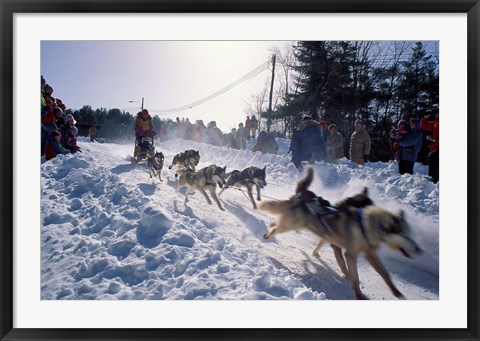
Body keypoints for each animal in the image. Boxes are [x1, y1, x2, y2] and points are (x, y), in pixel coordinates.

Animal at [260, 168, 422, 300]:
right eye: (405, 235)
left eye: (410, 234)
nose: (418, 249)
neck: (365, 226)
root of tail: (303, 195)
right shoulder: (350, 254)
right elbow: (353, 276)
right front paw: (359, 294)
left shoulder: (370, 254)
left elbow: (385, 274)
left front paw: (396, 291)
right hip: (291, 223)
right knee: (277, 223)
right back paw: (268, 234)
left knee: (278, 217)